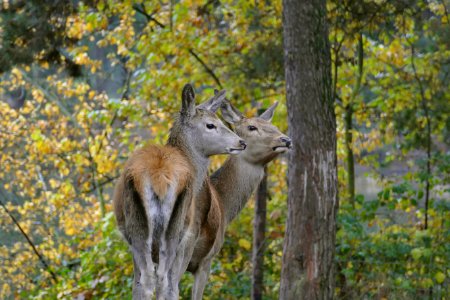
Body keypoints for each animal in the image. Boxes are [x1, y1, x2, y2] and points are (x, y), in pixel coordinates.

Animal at [112, 85, 246, 300]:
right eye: (210, 125)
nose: (241, 142)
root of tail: (159, 177)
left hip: (142, 229)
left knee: (148, 282)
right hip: (174, 230)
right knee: (165, 282)